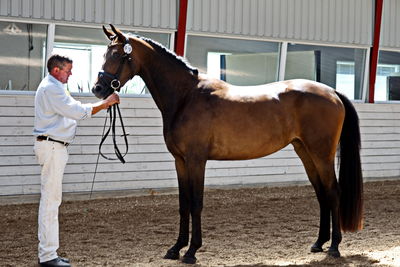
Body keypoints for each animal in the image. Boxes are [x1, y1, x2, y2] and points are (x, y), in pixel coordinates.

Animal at [93, 24, 362, 264]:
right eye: (105, 53)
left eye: (118, 54)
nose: (98, 88)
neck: (186, 96)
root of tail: (333, 92)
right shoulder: (180, 161)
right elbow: (183, 204)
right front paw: (175, 248)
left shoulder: (196, 160)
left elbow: (196, 203)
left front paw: (192, 251)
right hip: (305, 152)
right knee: (322, 194)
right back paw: (318, 243)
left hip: (322, 154)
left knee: (333, 192)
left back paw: (334, 247)